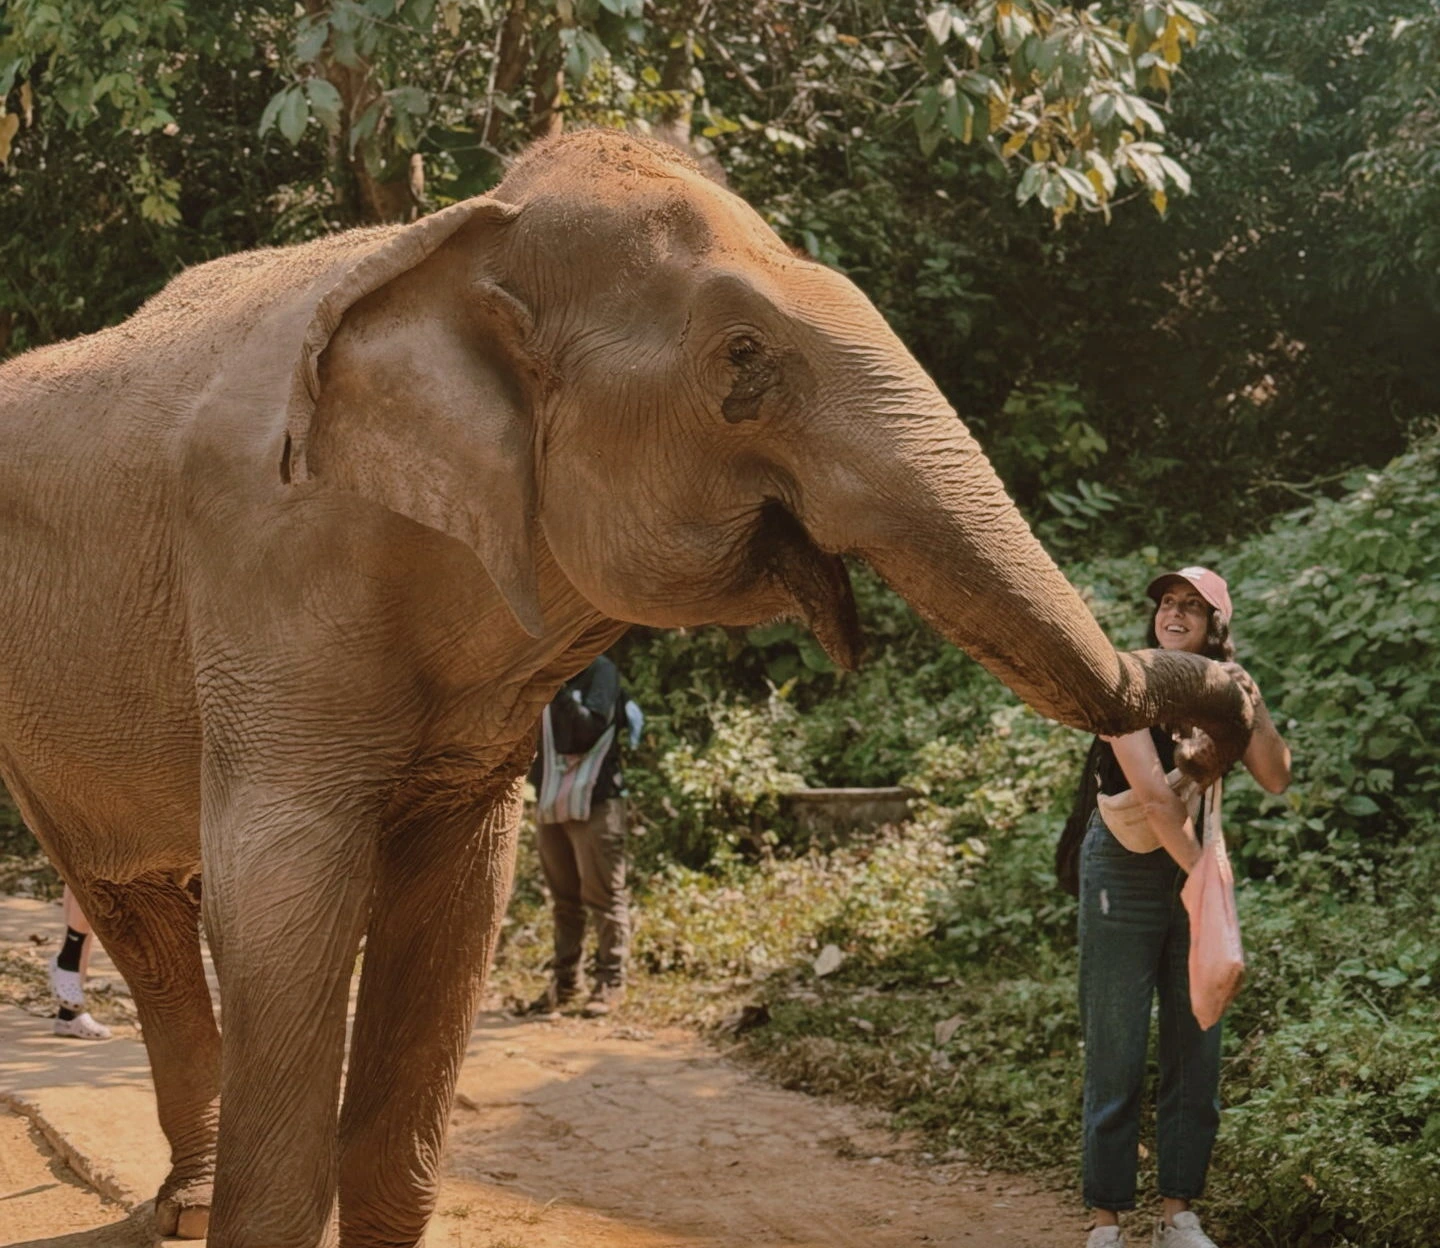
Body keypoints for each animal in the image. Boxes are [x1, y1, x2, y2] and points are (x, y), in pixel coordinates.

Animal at [0, 129, 1254, 1247]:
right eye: (743, 357)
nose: (1226, 706)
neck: (456, 235)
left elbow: (458, 904)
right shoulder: (268, 571)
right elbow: (287, 891)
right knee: (131, 906)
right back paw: (184, 1202)